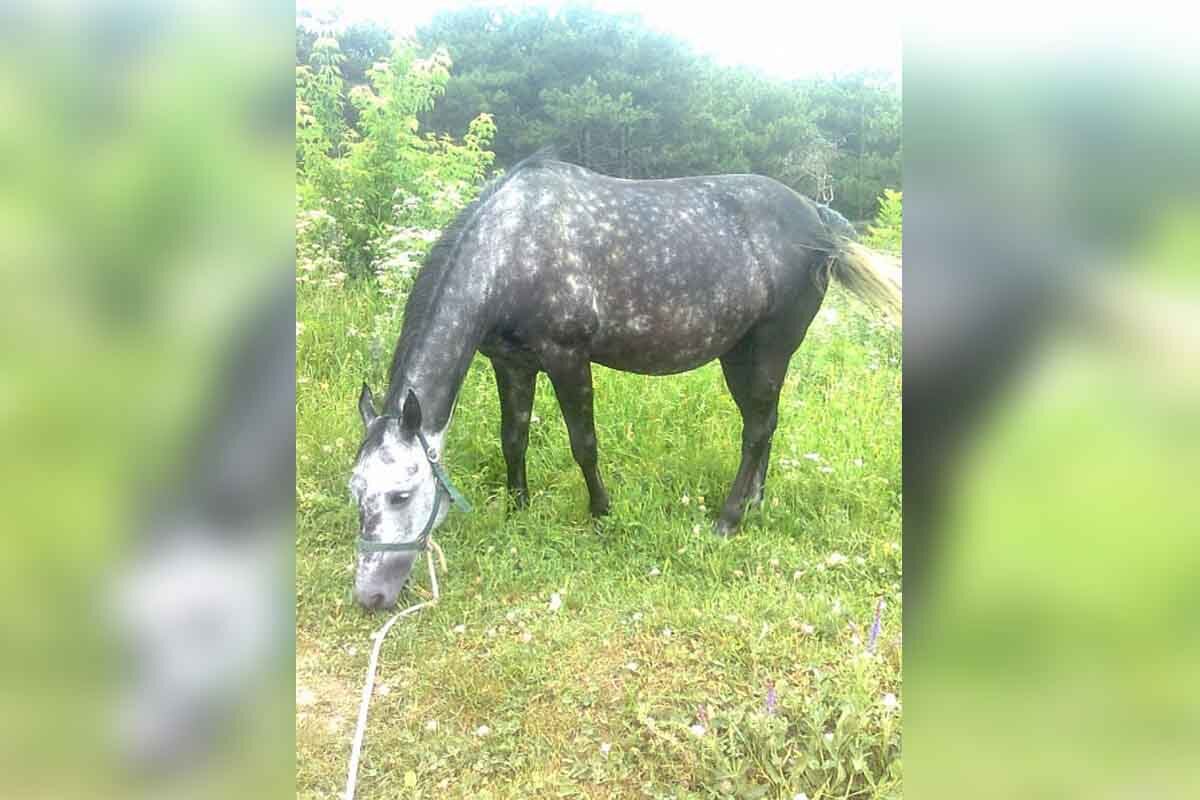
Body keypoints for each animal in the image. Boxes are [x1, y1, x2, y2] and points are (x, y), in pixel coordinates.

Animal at [343, 153, 897, 609]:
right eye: (356, 490)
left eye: (402, 494)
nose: (370, 597)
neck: (513, 246)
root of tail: (819, 216)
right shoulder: (512, 363)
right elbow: (513, 437)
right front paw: (519, 506)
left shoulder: (567, 359)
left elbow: (584, 443)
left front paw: (601, 512)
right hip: (743, 354)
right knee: (765, 424)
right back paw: (755, 501)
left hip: (768, 350)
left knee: (757, 428)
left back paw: (727, 520)